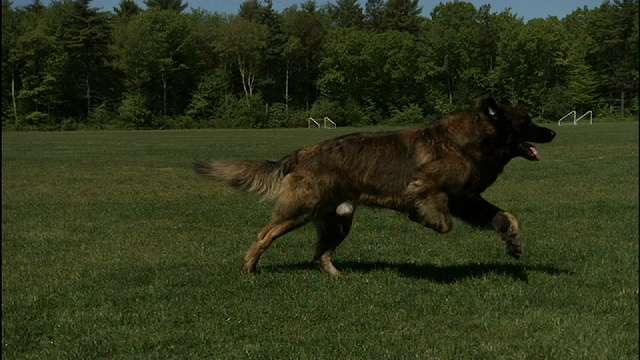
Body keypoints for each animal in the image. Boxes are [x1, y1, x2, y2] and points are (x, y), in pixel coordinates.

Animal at [194, 94, 556, 274]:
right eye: (526, 122)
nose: (553, 132)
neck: (464, 142)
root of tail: (300, 153)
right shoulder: (430, 186)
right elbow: (441, 218)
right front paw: (421, 215)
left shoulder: (468, 199)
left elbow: (505, 217)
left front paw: (513, 242)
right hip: (299, 211)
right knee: (264, 235)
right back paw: (249, 267)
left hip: (338, 220)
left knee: (320, 254)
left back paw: (337, 276)